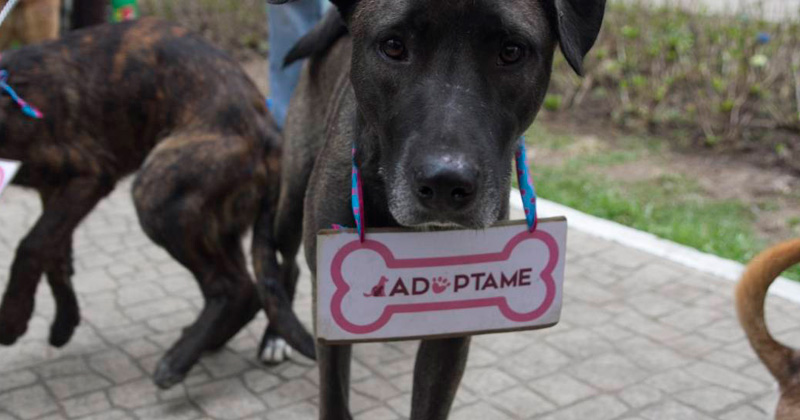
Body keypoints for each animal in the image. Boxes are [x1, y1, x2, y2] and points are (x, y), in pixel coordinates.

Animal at [0, 18, 313, 389]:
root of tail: (269, 133)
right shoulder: (55, 189)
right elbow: (54, 252)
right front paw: (65, 320)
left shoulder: (90, 174)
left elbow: (32, 245)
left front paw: (12, 319)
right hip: (216, 221)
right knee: (257, 284)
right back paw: (213, 341)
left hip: (157, 194)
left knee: (234, 286)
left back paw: (180, 360)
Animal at [264, 0, 606, 417]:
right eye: (393, 46)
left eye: (511, 51)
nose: (445, 183)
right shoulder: (331, 316)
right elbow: (334, 399)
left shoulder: (453, 325)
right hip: (291, 199)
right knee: (285, 260)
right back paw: (275, 337)